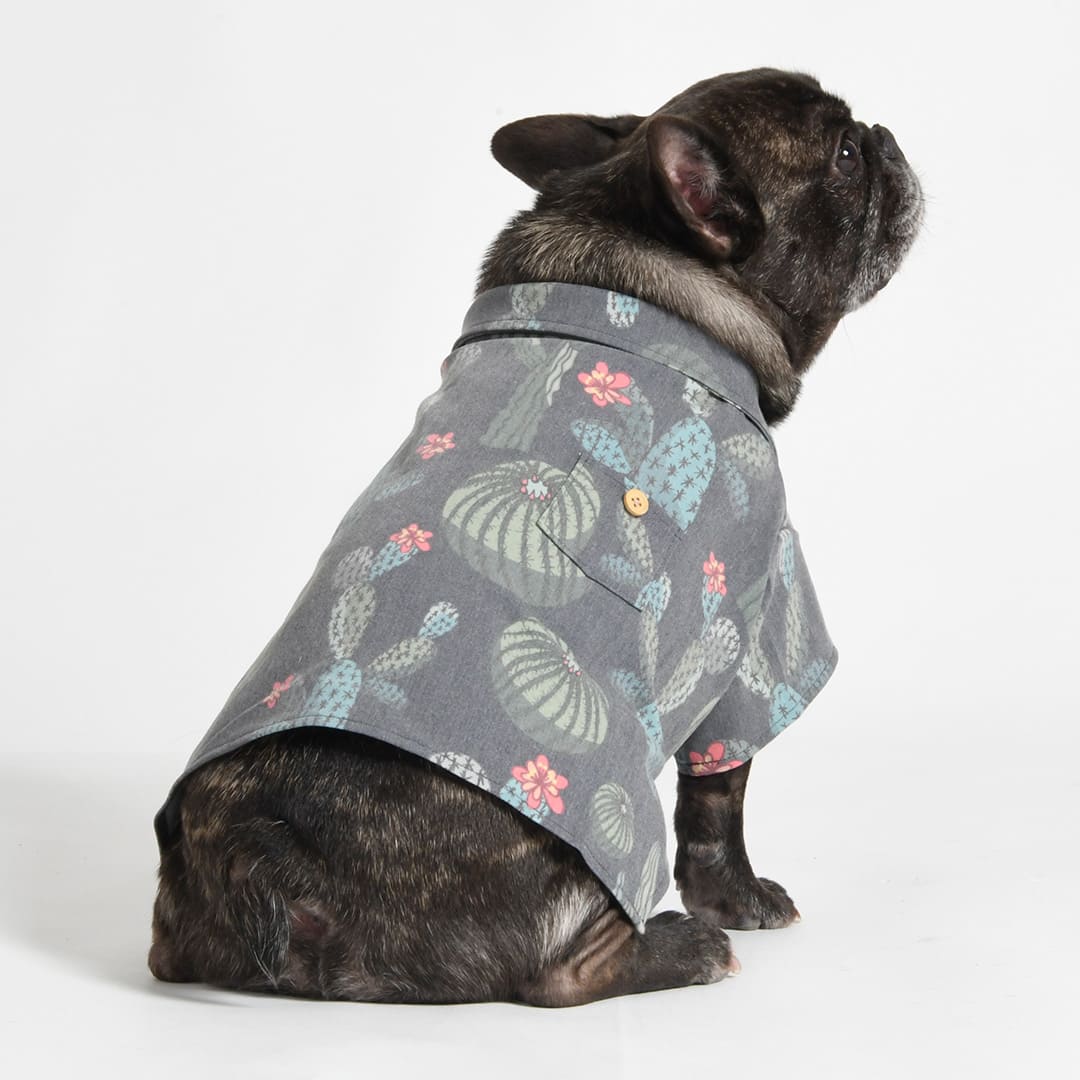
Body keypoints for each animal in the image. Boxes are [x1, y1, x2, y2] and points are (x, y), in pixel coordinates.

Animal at [149, 68, 922, 1006]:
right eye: (843, 155)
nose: (883, 136)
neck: (650, 266)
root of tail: (268, 857)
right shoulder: (758, 618)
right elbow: (718, 798)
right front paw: (738, 902)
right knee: (561, 975)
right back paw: (685, 947)